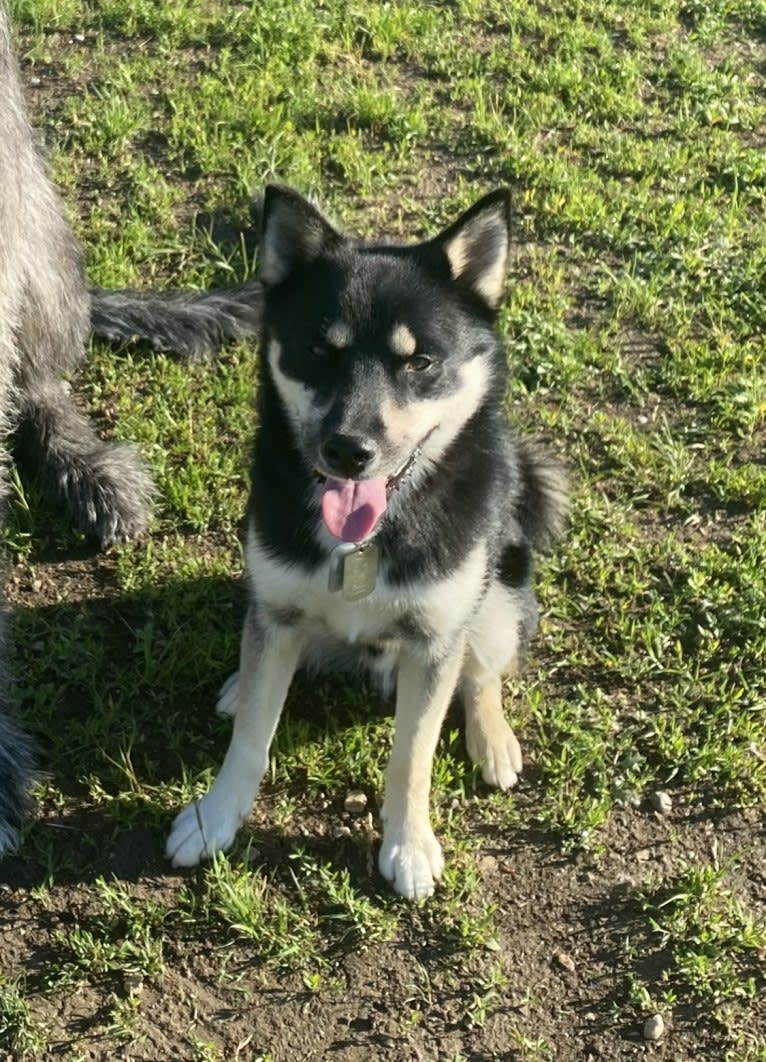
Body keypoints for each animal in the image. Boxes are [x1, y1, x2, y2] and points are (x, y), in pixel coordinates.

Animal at [167, 189, 569, 896]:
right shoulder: (277, 606)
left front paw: (408, 847)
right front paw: (214, 818)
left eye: (420, 362)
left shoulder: (436, 639)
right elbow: (250, 738)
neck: (369, 540)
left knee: (483, 673)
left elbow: (414, 754)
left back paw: (493, 740)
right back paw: (241, 684)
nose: (349, 451)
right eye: (319, 351)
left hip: (499, 599)